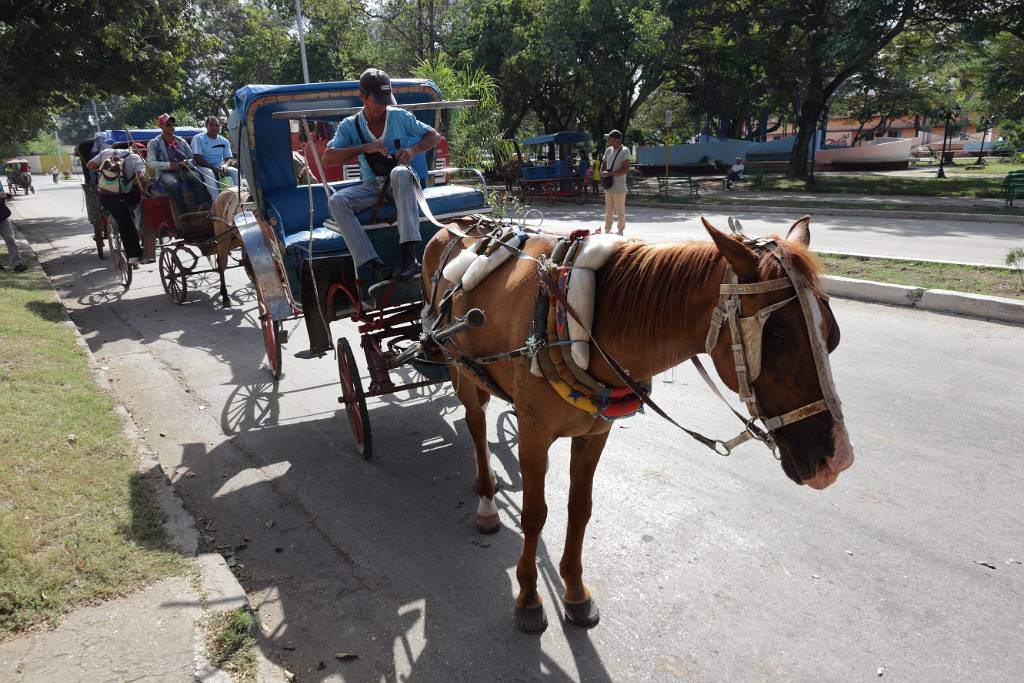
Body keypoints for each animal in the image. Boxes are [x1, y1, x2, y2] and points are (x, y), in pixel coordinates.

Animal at [419, 216, 851, 634]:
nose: (837, 460)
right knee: (476, 426)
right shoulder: (532, 433)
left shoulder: (595, 434)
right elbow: (534, 514)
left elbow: (580, 508)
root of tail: (453, 225)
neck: (578, 321)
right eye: (776, 335)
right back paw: (487, 501)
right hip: (458, 367)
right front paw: (528, 596)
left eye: (831, 334)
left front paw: (574, 590)